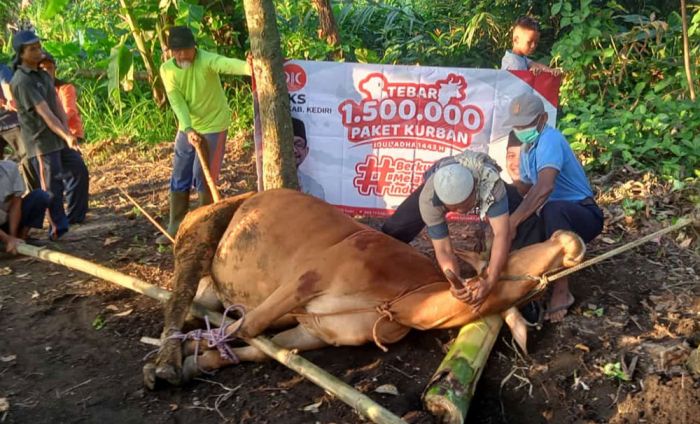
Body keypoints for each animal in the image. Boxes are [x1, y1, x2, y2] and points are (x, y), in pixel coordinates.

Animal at [144, 190, 584, 390]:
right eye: (517, 258)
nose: (571, 239)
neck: (401, 299)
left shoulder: (315, 332)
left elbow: (259, 347)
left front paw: (196, 361)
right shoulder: (306, 280)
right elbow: (246, 328)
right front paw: (182, 360)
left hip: (213, 289)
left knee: (193, 308)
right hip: (197, 236)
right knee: (175, 305)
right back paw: (164, 360)